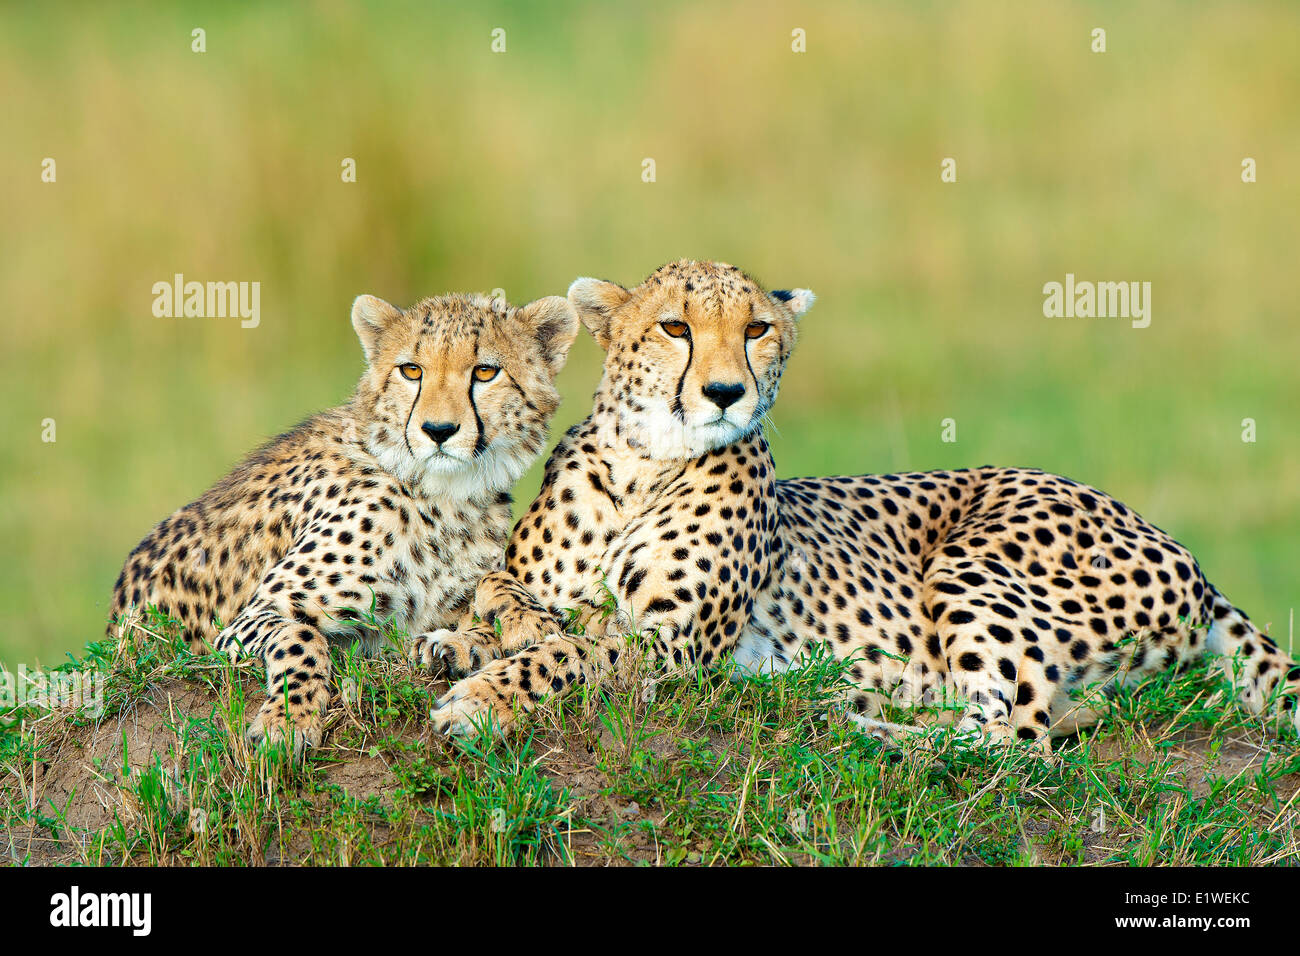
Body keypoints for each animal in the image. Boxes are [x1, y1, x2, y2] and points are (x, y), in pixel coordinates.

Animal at [111, 287, 579, 749]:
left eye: (485, 372)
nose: (438, 430)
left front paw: (523, 619)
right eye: (411, 370)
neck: (447, 496)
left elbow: (491, 582)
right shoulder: (252, 616)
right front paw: (288, 721)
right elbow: (302, 636)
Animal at [413, 260, 1289, 749]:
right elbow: (513, 606)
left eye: (757, 329)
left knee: (1018, 737)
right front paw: (461, 643)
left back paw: (859, 722)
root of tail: (1190, 559)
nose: (726, 392)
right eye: (675, 328)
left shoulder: (676, 646)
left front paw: (484, 700)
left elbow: (574, 654)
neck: (642, 466)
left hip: (975, 562)